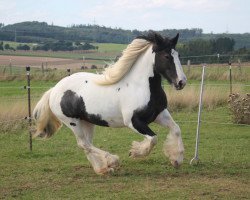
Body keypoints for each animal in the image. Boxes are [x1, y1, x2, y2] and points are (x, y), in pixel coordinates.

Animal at [33, 32, 188, 174]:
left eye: (178, 55)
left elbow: (176, 129)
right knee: (83, 144)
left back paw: (102, 169)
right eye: (167, 56)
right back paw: (112, 161)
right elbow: (153, 139)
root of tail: (54, 90)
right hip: (72, 122)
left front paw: (176, 159)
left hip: (87, 122)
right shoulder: (133, 121)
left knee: (87, 144)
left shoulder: (160, 114)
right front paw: (135, 152)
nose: (181, 82)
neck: (140, 86)